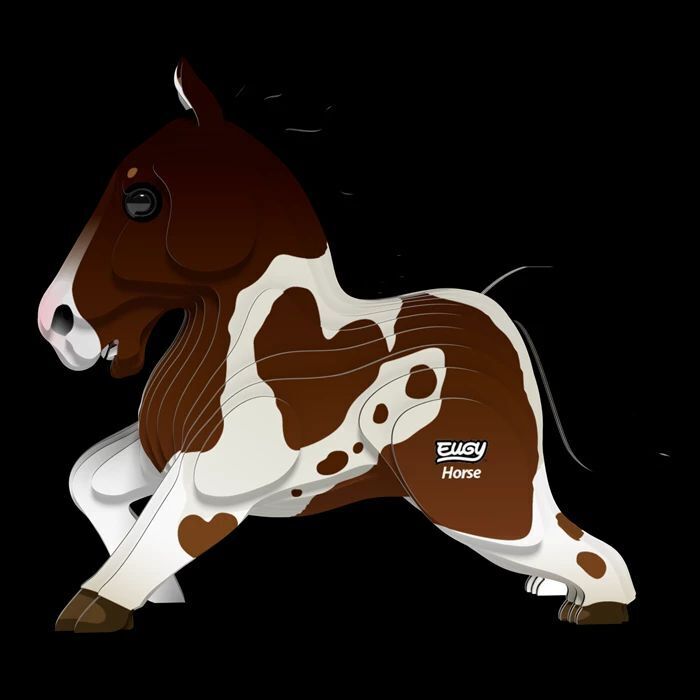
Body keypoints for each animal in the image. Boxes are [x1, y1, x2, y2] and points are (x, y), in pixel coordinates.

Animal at [38, 60, 635, 632]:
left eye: (141, 200)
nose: (57, 322)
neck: (243, 340)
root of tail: (496, 318)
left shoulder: (214, 485)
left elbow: (151, 543)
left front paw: (99, 606)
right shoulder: (164, 451)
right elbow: (88, 480)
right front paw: (167, 596)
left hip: (475, 504)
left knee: (593, 557)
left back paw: (591, 605)